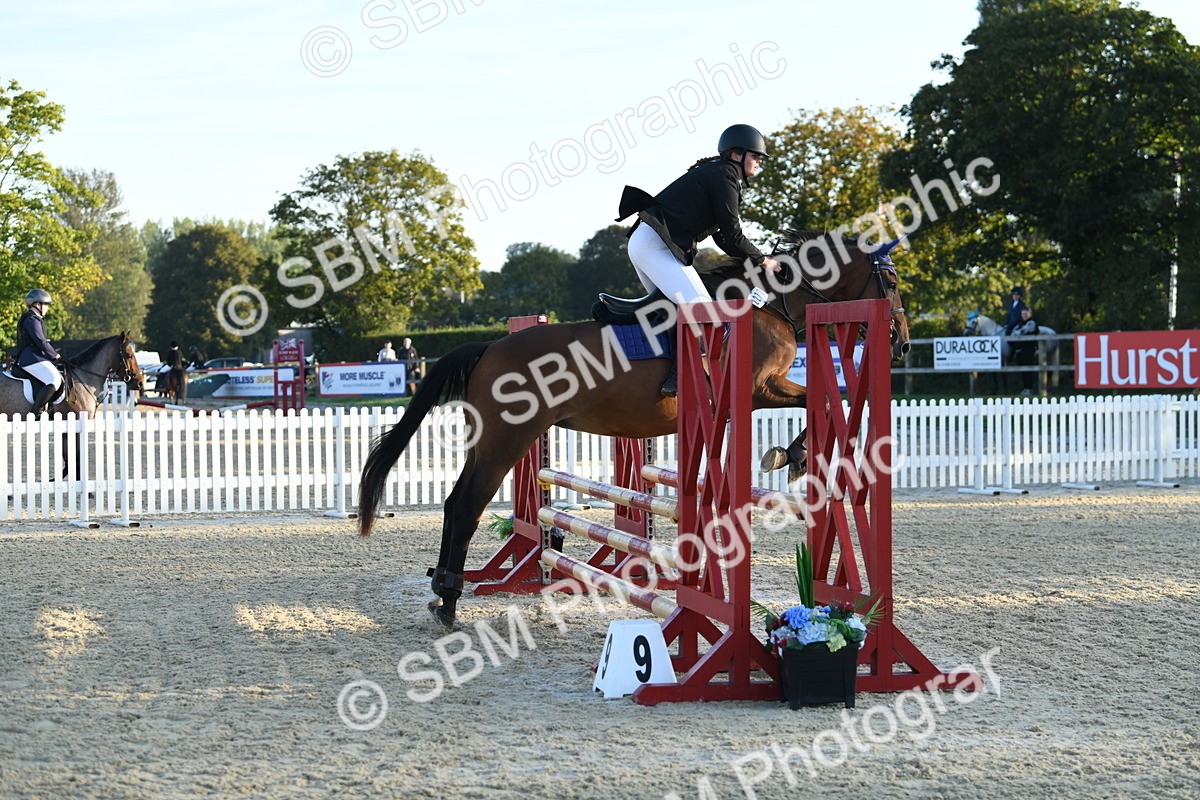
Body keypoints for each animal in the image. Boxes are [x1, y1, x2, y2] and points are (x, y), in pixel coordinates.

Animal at [357, 230, 911, 628]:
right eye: (892, 283)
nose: (902, 344)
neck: (769, 302)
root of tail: (490, 346)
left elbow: (821, 398)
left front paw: (792, 455)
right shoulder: (758, 389)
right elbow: (819, 397)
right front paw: (789, 455)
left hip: (493, 441)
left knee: (456, 503)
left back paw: (442, 594)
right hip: (507, 440)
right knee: (467, 505)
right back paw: (448, 601)